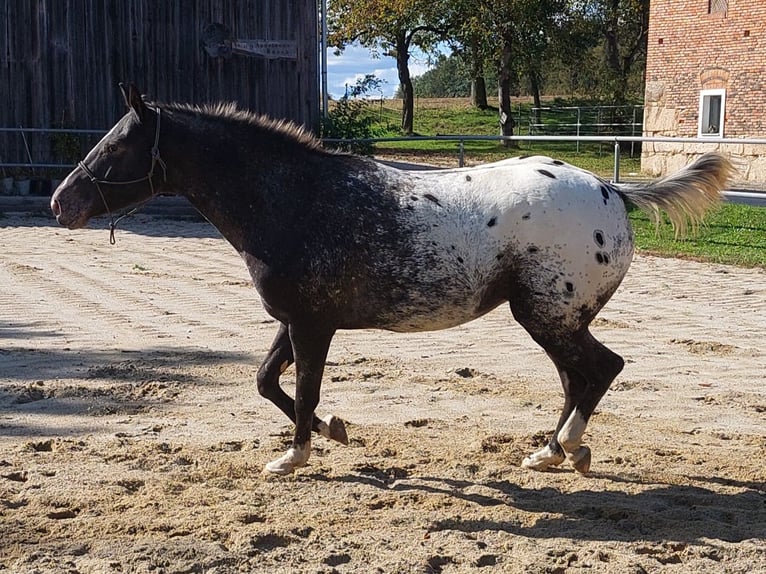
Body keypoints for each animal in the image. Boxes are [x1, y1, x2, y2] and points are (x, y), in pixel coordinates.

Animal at [51, 85, 736, 480]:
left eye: (114, 148)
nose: (61, 203)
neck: (294, 199)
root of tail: (612, 190)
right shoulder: (295, 320)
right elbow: (268, 381)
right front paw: (334, 430)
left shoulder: (312, 324)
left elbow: (302, 390)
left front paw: (295, 456)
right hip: (556, 317)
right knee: (578, 376)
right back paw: (552, 452)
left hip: (546, 314)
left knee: (600, 369)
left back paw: (564, 446)